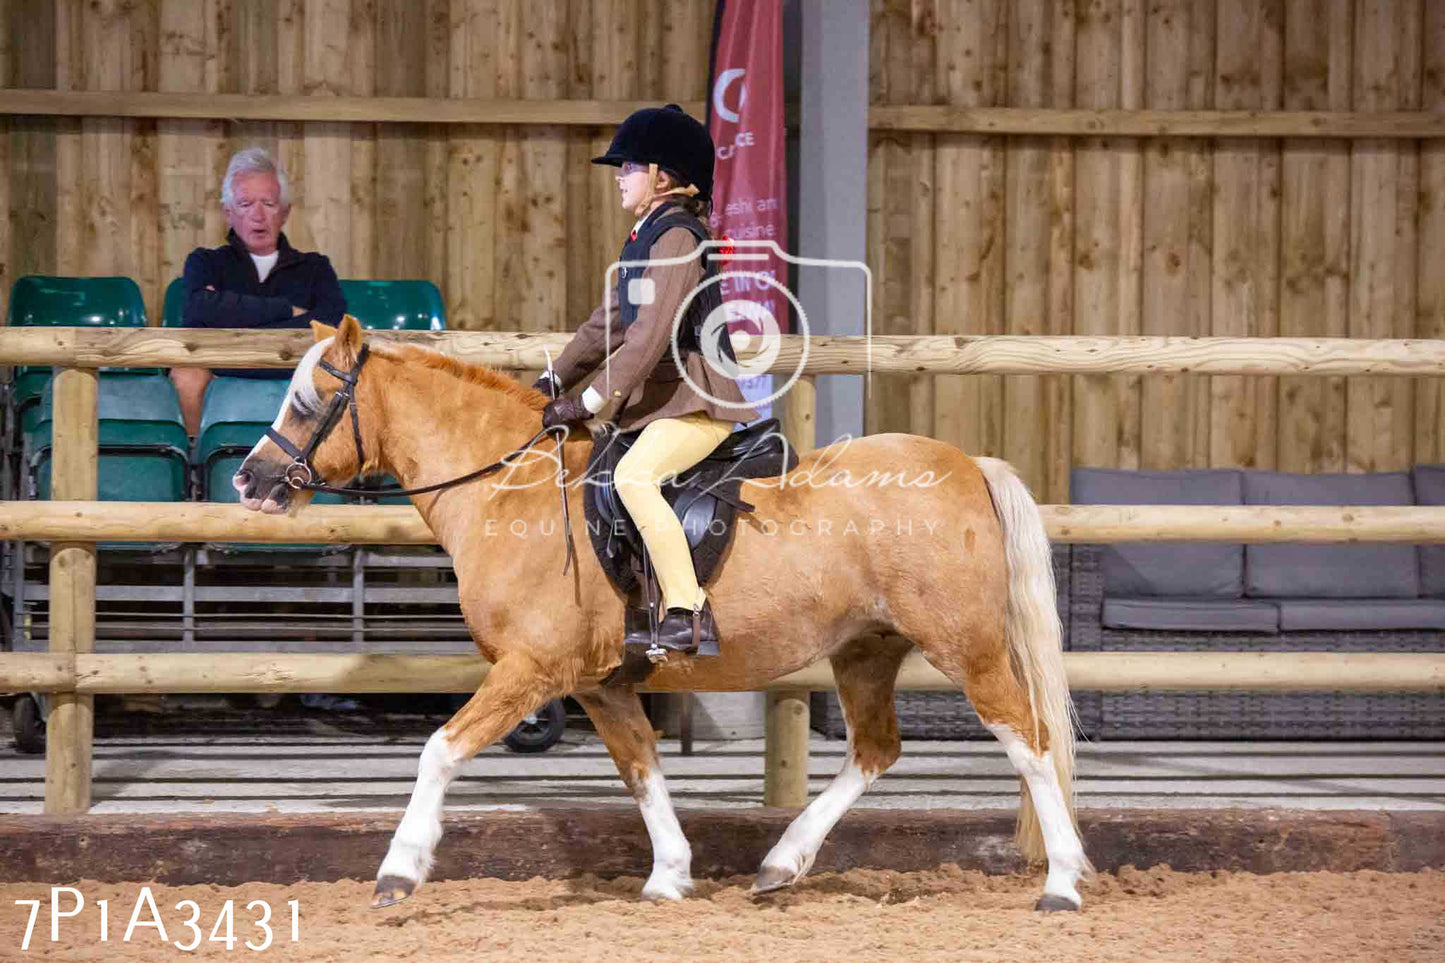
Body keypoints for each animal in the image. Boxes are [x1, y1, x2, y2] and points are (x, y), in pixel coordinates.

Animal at [239, 321, 1092, 908]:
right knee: (875, 749)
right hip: (865, 648)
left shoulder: (531, 670)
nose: (251, 480)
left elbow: (439, 751)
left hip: (965, 647)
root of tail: (965, 464)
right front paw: (671, 874)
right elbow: (641, 770)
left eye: (310, 400)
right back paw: (781, 861)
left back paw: (1060, 883)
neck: (510, 490)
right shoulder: (600, 684)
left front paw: (399, 868)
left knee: (1030, 741)